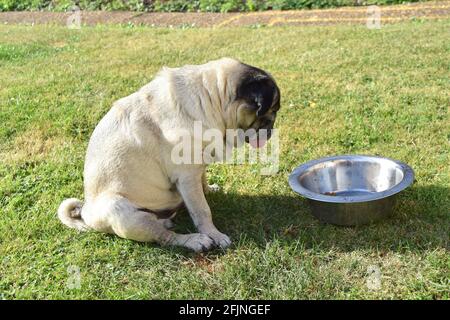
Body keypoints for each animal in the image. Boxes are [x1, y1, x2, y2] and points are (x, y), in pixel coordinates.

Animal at [57, 58, 280, 252]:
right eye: (270, 111)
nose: (271, 129)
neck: (212, 98)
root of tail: (86, 212)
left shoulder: (197, 168)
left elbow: (203, 180)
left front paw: (209, 189)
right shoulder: (187, 176)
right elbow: (202, 210)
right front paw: (214, 234)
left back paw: (166, 221)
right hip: (120, 210)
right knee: (163, 237)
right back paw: (194, 240)